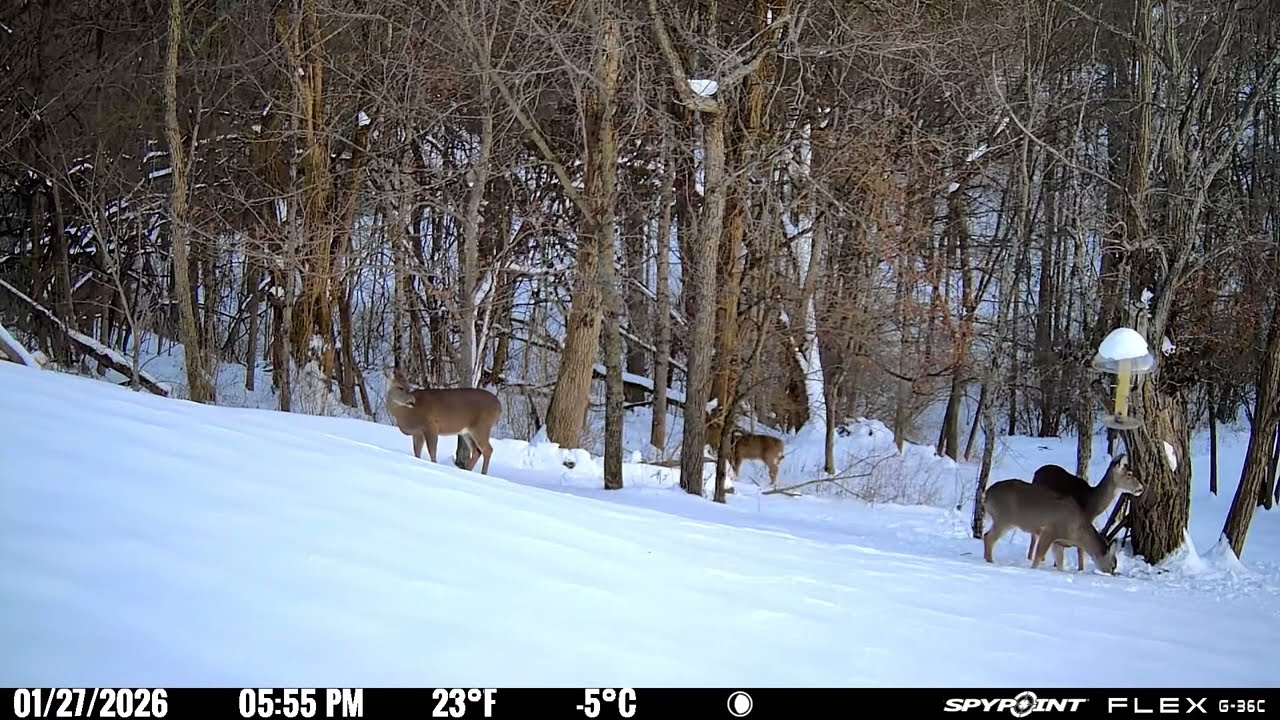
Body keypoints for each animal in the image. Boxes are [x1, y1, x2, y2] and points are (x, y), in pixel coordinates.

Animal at [982, 478, 1119, 575]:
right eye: (1113, 565)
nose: (1111, 574)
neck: (1078, 532)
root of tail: (987, 494)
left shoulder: (1058, 542)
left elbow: (1060, 562)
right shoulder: (1049, 531)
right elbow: (1038, 556)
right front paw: (1032, 570)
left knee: (986, 536)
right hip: (1003, 519)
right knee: (988, 537)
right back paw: (990, 562)